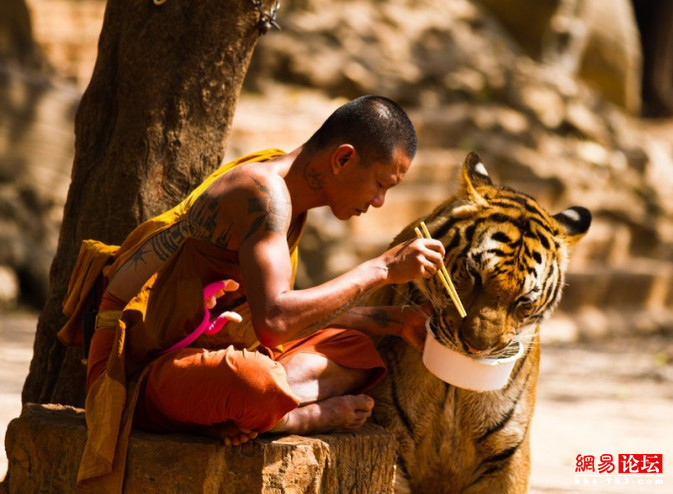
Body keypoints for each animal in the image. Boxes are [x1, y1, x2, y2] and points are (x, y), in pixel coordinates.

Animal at [369, 151, 591, 493]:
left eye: (524, 300)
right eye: (474, 274)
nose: (476, 348)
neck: (454, 388)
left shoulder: (508, 454)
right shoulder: (393, 437)